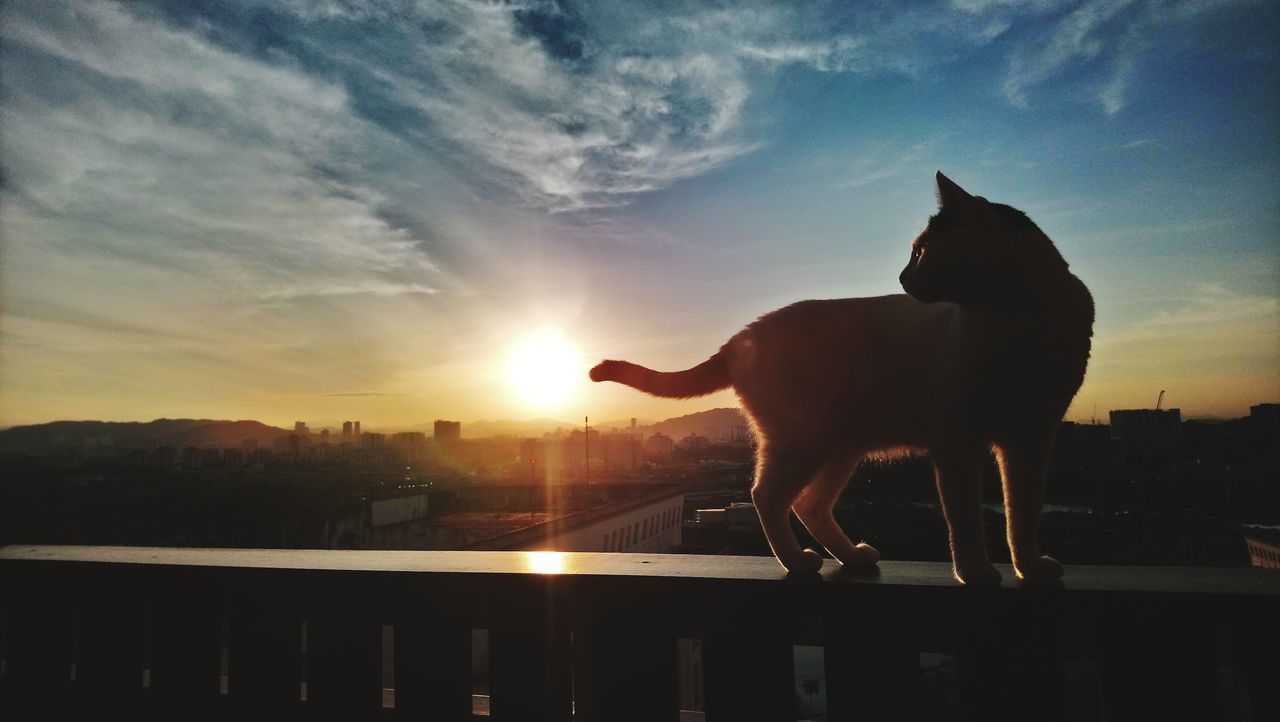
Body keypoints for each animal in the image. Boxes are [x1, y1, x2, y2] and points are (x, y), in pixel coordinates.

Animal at [586, 171, 1090, 583]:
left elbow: (1023, 511)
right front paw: (976, 572)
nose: (902, 277)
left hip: (840, 446)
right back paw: (797, 561)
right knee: (768, 495)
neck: (1017, 322)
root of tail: (742, 336)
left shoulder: (1032, 439)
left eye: (922, 250)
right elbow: (964, 517)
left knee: (808, 503)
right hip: (803, 440)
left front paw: (1030, 567)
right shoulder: (958, 441)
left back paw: (851, 556)